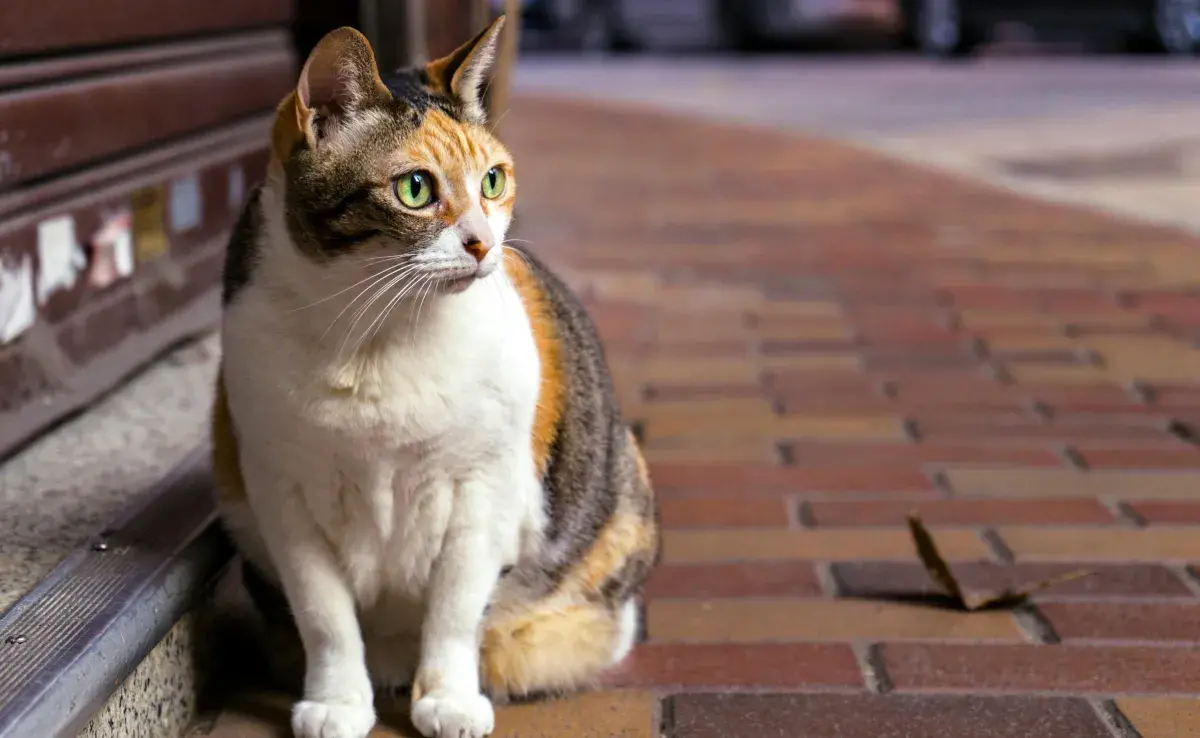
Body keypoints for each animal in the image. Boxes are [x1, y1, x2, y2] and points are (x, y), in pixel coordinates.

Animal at [206, 14, 657, 738]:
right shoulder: (281, 494)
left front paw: (447, 699)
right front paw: (337, 703)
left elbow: (454, 609)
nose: (483, 243)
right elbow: (324, 615)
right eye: (415, 189)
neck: (374, 337)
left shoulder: (482, 490)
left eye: (493, 180)